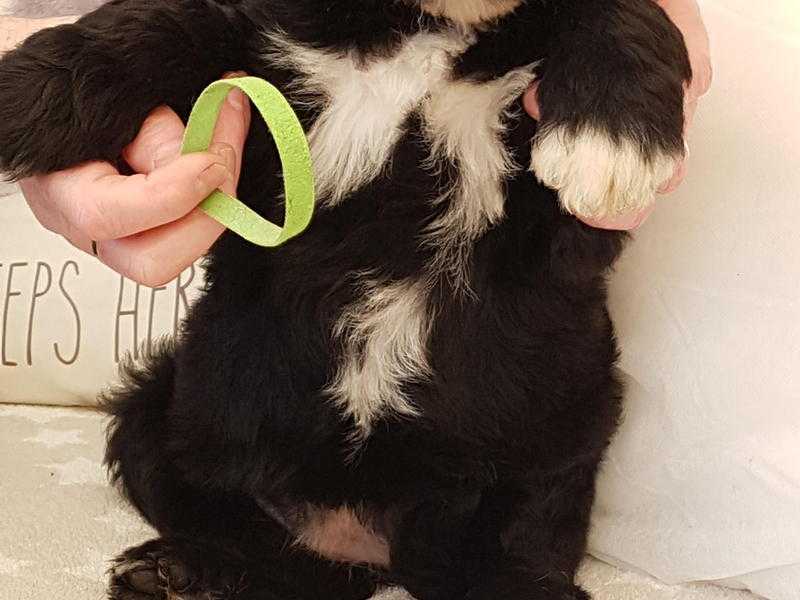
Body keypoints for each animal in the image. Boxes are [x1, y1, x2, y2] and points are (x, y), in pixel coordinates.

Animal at [0, 2, 688, 596]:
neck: (433, 30)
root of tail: (362, 541)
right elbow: (161, 22)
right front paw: (27, 94)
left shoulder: (559, 239)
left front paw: (616, 136)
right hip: (162, 411)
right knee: (270, 549)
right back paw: (189, 572)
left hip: (555, 446)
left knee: (496, 554)